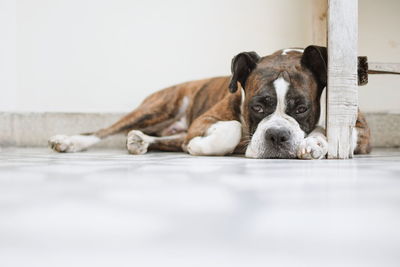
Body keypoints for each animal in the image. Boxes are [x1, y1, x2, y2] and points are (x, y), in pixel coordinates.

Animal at [49, 45, 372, 159]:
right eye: (257, 107)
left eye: (302, 108)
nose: (277, 136)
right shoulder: (204, 121)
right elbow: (232, 128)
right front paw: (202, 147)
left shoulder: (360, 129)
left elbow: (334, 132)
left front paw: (315, 142)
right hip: (158, 108)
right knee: (102, 131)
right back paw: (70, 141)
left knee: (169, 139)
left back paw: (140, 141)